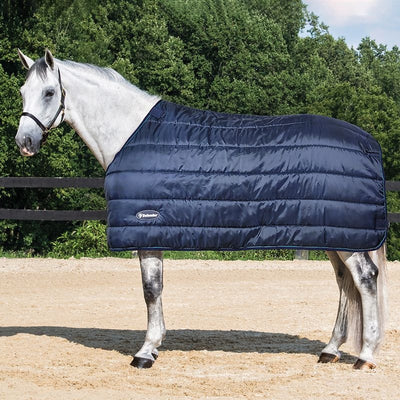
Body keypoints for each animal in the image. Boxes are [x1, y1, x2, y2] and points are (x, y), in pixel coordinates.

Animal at [15, 49, 387, 370]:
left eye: (49, 92)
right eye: (22, 91)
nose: (24, 143)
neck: (129, 134)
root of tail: (368, 143)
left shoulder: (148, 229)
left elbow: (151, 290)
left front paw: (146, 351)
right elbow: (154, 290)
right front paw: (154, 346)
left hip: (345, 237)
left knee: (365, 279)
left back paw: (365, 356)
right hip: (336, 234)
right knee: (345, 284)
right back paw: (330, 350)